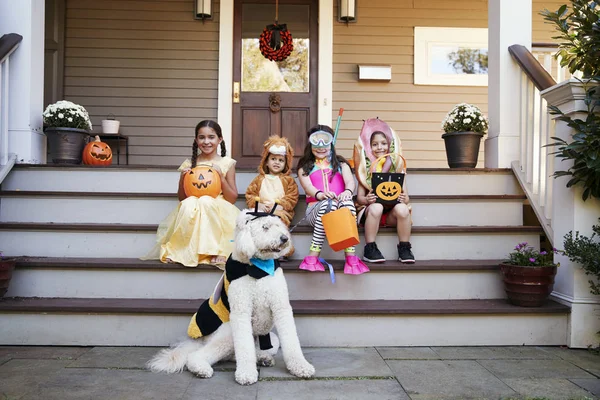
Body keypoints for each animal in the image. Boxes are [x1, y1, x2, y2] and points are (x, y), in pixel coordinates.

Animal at [149, 206, 314, 384]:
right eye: (265, 227)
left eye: (278, 225)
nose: (284, 238)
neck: (259, 269)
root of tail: (200, 341)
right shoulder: (241, 312)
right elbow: (244, 347)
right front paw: (246, 374)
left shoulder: (281, 307)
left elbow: (291, 341)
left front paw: (301, 367)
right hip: (227, 333)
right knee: (200, 355)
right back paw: (201, 368)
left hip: (272, 340)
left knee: (236, 355)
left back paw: (263, 358)